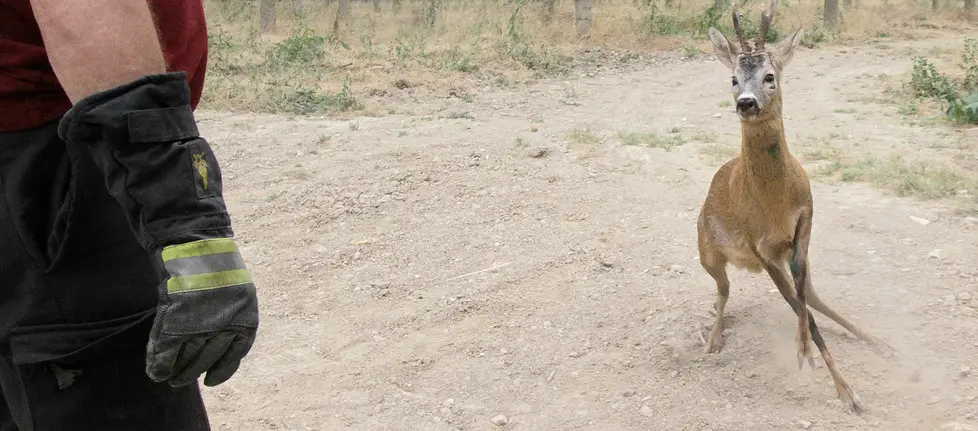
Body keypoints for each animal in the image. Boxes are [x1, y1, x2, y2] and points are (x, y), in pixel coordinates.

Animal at [692, 0, 892, 416]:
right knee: (723, 290)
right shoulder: (759, 246)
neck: (775, 204)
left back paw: (879, 342)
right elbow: (800, 309)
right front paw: (846, 390)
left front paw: (818, 357)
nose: (746, 102)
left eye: (769, 76)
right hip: (706, 250)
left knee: (809, 293)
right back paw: (713, 339)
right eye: (733, 79)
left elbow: (802, 297)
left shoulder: (806, 219)